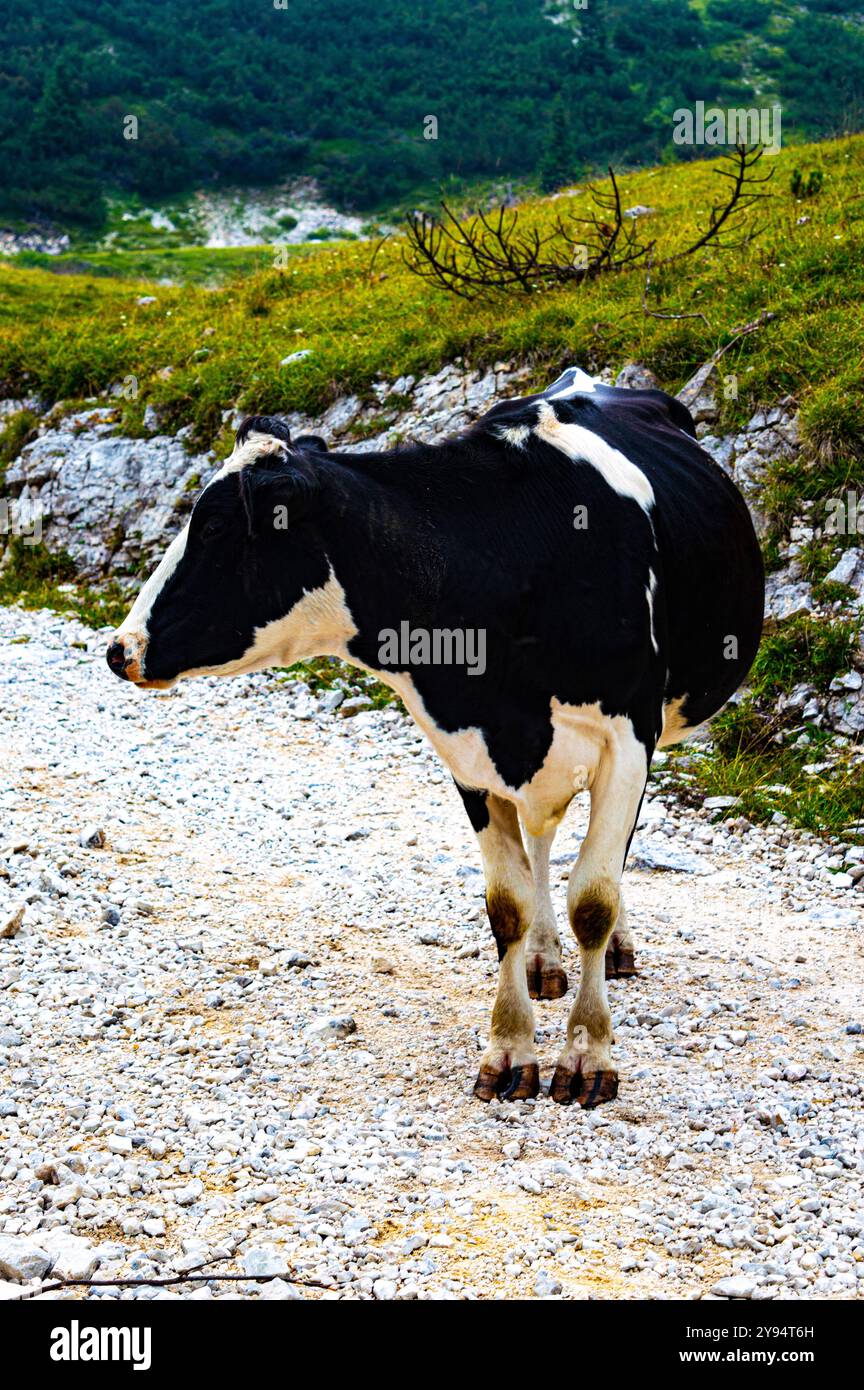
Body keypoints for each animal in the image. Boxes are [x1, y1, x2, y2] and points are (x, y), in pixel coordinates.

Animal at [106, 368, 764, 1108]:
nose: (120, 649)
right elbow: (506, 904)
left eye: (216, 526)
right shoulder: (469, 749)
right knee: (542, 840)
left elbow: (595, 899)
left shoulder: (627, 739)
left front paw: (587, 1056)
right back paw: (543, 958)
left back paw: (612, 950)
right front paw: (510, 1048)